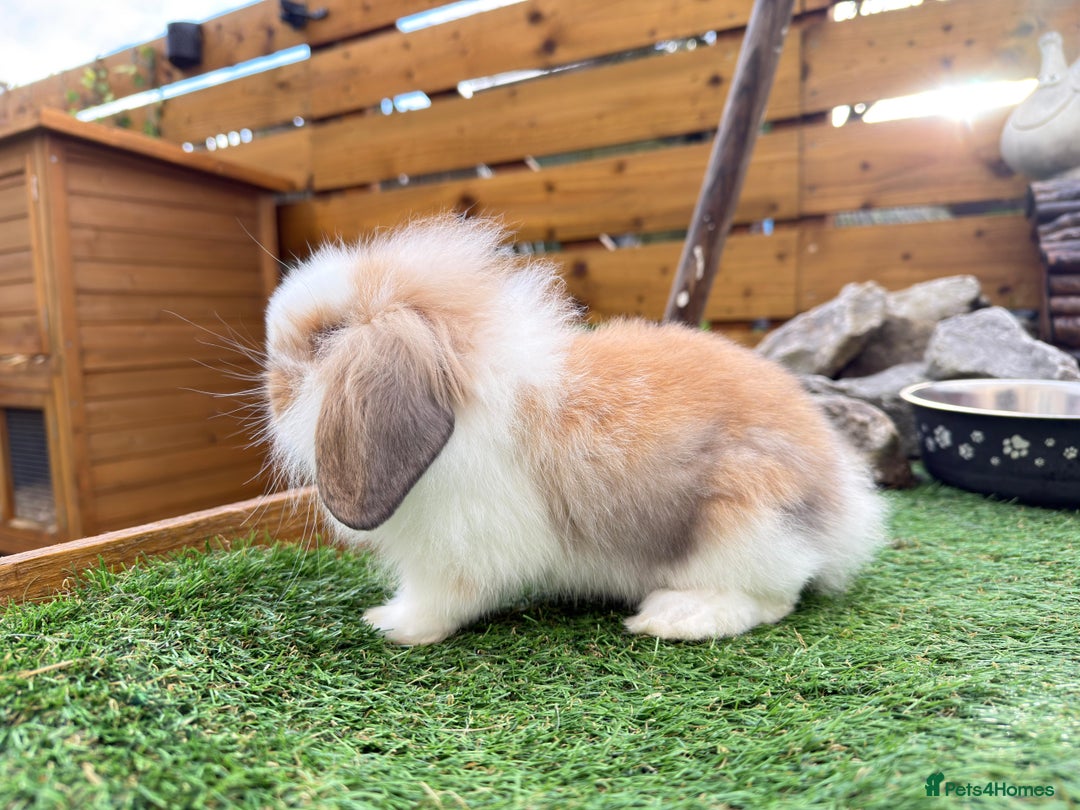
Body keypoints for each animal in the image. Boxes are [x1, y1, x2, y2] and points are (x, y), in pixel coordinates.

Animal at [262, 215, 887, 645]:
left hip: (743, 527)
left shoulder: (460, 551)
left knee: (774, 597)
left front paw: (391, 624)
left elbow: (441, 598)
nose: (270, 388)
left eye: (326, 337)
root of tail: (843, 503)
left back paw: (674, 617)